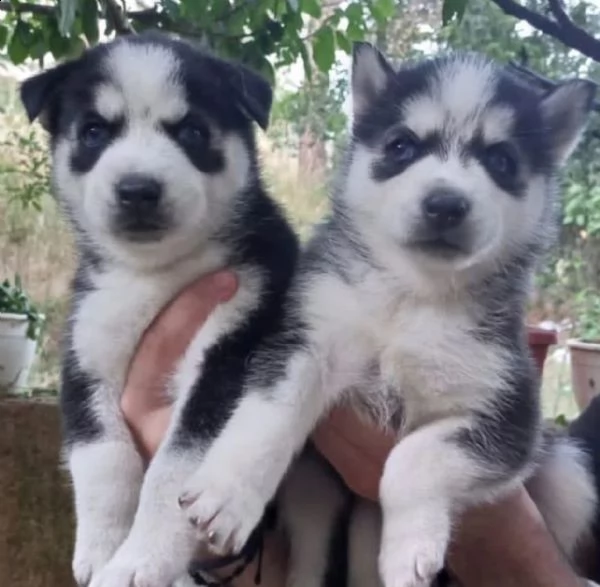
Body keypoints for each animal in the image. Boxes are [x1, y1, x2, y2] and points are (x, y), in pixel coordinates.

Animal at [19, 31, 302, 587]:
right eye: (93, 132)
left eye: (192, 130)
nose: (137, 190)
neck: (153, 273)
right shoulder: (86, 356)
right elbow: (103, 457)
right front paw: (102, 549)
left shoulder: (232, 348)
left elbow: (174, 469)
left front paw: (140, 561)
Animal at [170, 44, 600, 587]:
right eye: (401, 147)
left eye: (501, 160)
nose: (445, 204)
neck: (411, 298)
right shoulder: (304, 341)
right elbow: (270, 414)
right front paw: (228, 492)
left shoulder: (509, 417)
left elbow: (411, 458)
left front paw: (409, 548)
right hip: (314, 493)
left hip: (568, 473)